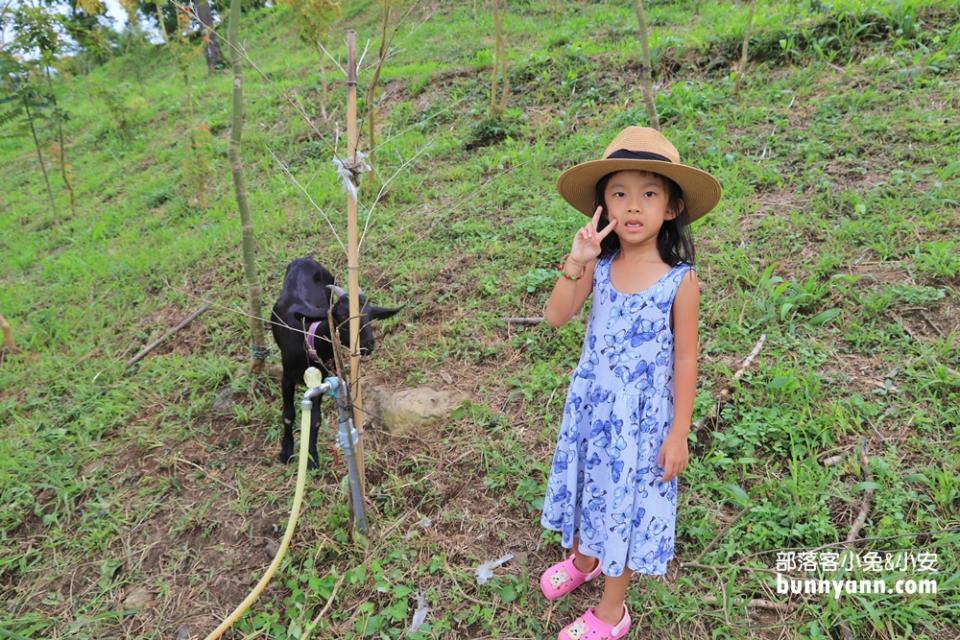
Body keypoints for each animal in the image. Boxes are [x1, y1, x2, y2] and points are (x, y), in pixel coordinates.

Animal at [272, 258, 404, 468]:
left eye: (371, 316)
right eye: (341, 316)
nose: (368, 345)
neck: (308, 341)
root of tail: (305, 259)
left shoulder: (321, 379)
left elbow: (316, 419)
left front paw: (312, 457)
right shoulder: (287, 377)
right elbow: (288, 415)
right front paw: (286, 452)